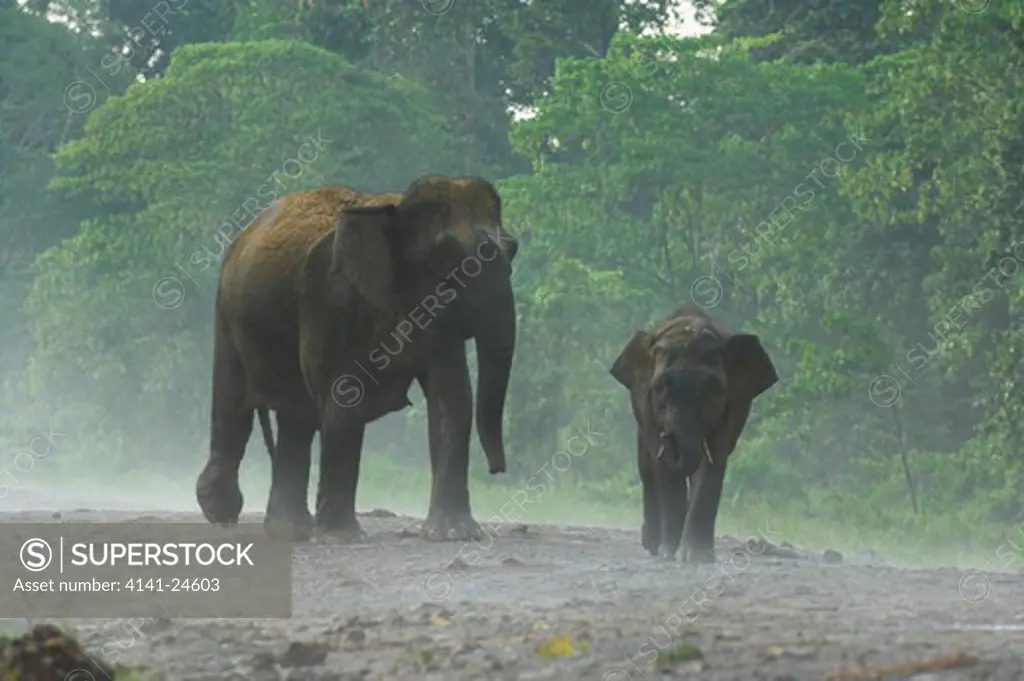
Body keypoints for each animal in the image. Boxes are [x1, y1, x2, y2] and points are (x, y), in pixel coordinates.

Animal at [194, 175, 520, 540]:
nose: (497, 470)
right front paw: (342, 538)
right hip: (227, 312)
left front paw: (456, 534)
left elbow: (451, 399)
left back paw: (291, 529)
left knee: (296, 418)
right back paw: (222, 510)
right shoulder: (330, 296)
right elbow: (345, 394)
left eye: (514, 248)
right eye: (446, 254)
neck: (395, 210)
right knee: (234, 406)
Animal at [606, 307, 774, 561]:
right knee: (646, 470)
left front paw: (697, 557)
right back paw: (653, 545)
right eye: (660, 387)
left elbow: (713, 463)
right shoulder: (648, 409)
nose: (667, 437)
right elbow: (661, 467)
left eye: (715, 388)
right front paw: (668, 553)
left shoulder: (728, 409)